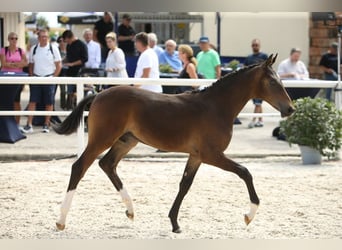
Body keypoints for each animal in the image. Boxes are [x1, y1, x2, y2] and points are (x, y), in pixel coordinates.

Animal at [52, 54, 294, 232]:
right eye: (273, 81)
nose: (290, 109)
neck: (216, 106)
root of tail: (99, 94)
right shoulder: (211, 155)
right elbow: (245, 172)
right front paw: (249, 215)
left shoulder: (196, 156)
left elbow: (184, 185)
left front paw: (175, 223)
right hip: (103, 138)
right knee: (80, 166)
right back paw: (61, 220)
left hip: (126, 141)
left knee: (107, 164)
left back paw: (130, 210)